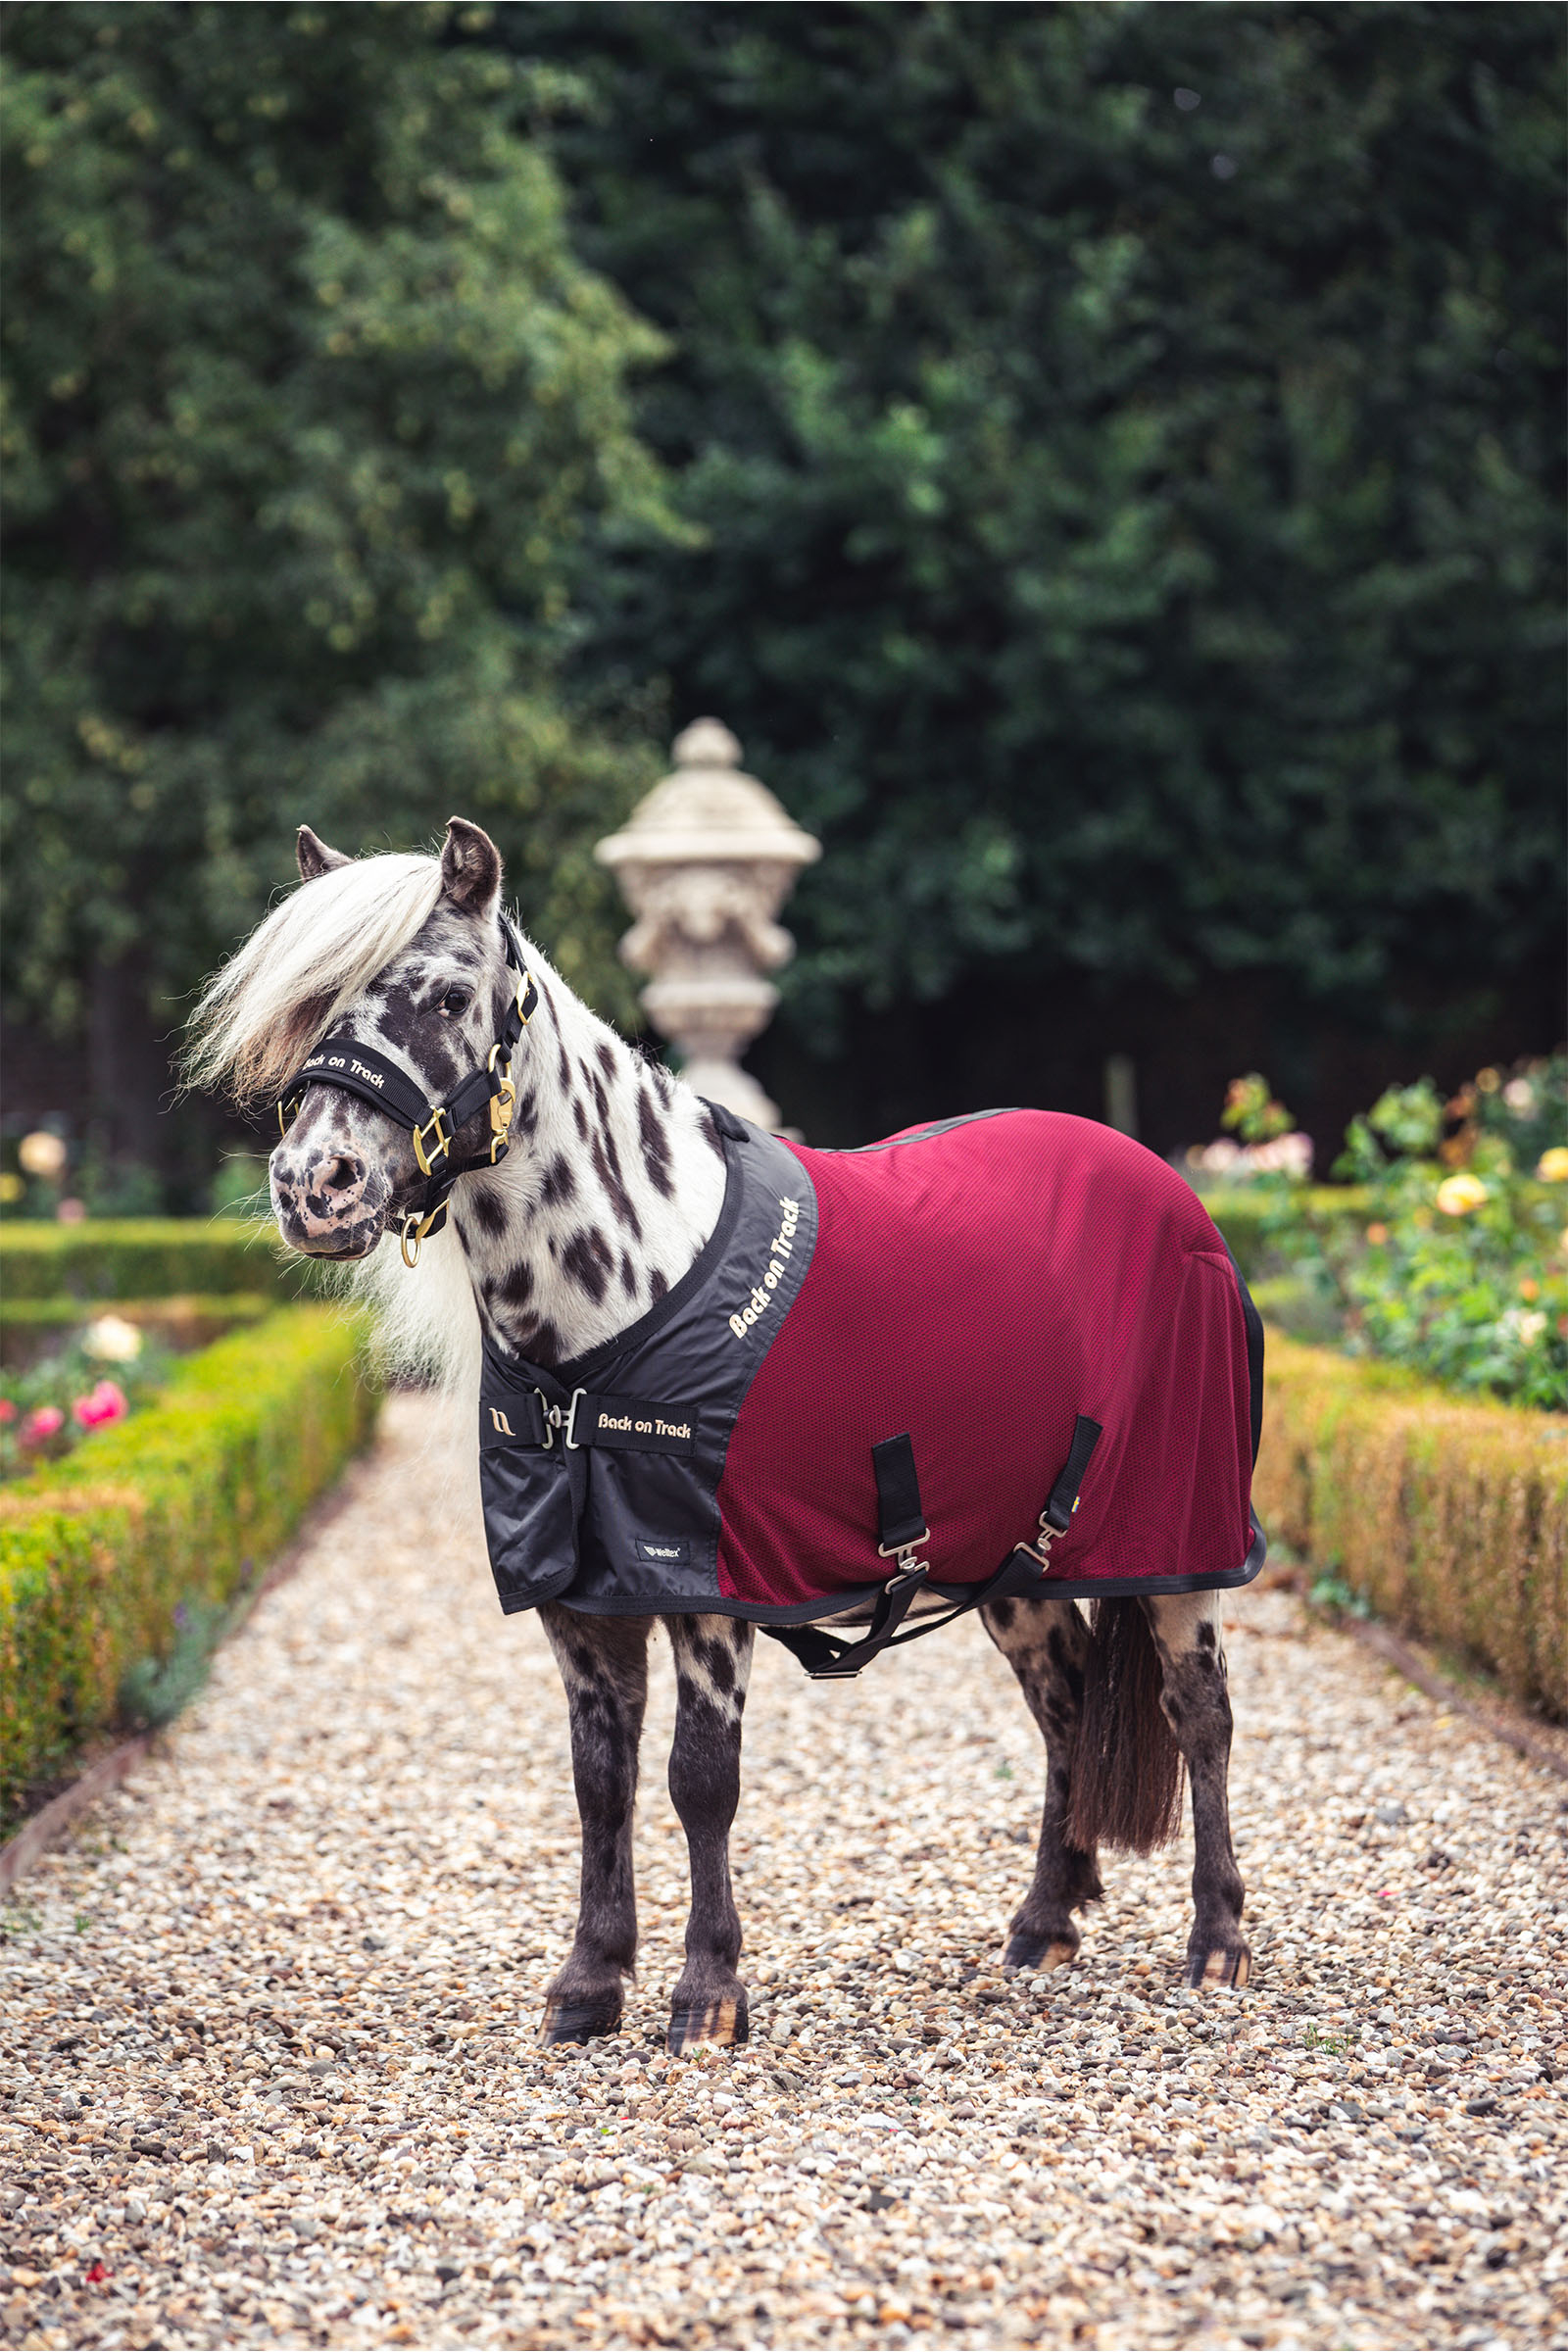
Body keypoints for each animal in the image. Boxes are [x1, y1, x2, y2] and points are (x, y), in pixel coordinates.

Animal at [188, 815, 1255, 2052]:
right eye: (307, 1005)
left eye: (450, 995)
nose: (315, 1186)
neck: (621, 1299)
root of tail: (1166, 1189)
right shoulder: (581, 1605)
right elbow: (599, 1782)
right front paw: (589, 1984)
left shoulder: (707, 1597)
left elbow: (700, 1781)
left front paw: (706, 1993)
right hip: (1012, 1567)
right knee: (1068, 1702)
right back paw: (1043, 1920)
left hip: (1179, 1551)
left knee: (1199, 1715)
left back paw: (1216, 1940)